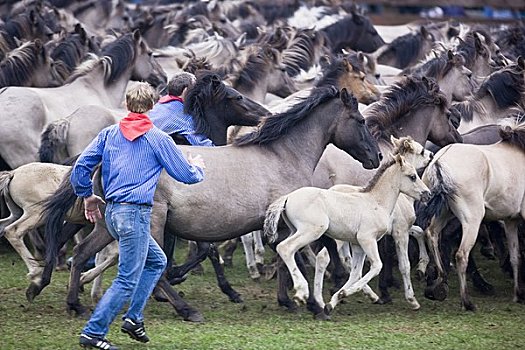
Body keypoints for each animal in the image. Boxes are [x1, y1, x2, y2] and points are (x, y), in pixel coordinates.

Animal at [262, 154, 430, 314]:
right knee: (286, 248)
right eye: (412, 176)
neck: (376, 202)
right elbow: (379, 266)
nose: (427, 194)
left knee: (285, 252)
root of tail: (287, 197)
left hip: (296, 231)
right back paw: (301, 292)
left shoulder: (358, 245)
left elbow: (355, 273)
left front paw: (334, 301)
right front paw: (411, 300)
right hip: (312, 231)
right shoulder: (371, 238)